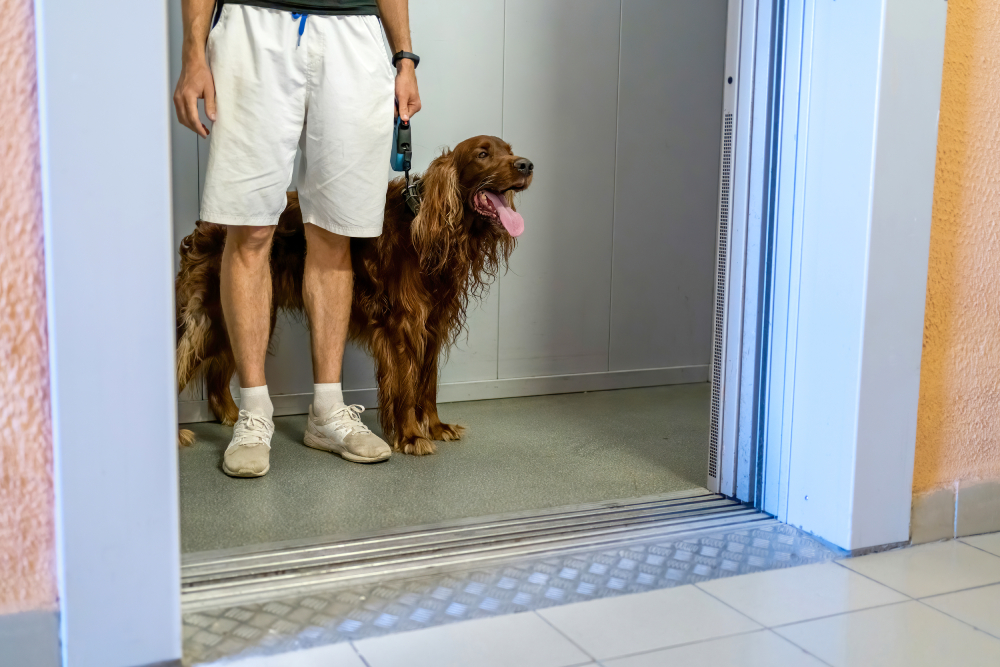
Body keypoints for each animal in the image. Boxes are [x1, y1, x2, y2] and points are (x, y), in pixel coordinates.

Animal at [176, 138, 536, 456]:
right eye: (482, 154)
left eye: (510, 150)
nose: (527, 165)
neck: (422, 224)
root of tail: (207, 224)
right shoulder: (403, 325)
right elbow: (406, 387)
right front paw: (411, 436)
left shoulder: (432, 324)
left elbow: (428, 383)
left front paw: (435, 427)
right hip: (213, 318)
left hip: (244, 317)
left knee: (218, 371)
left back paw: (231, 415)